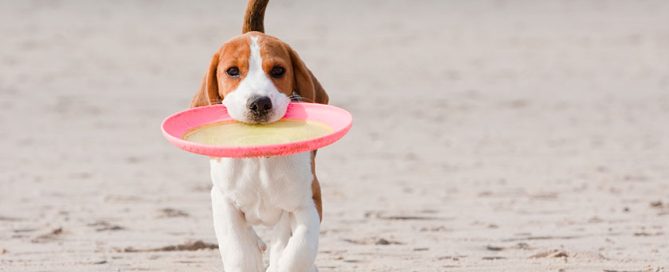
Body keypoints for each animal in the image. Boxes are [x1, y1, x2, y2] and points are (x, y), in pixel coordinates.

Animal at [189, 1, 328, 270]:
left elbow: (298, 251)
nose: (259, 103)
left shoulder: (309, 200)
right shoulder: (222, 200)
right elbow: (238, 250)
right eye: (232, 71)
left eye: (278, 70)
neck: (260, 156)